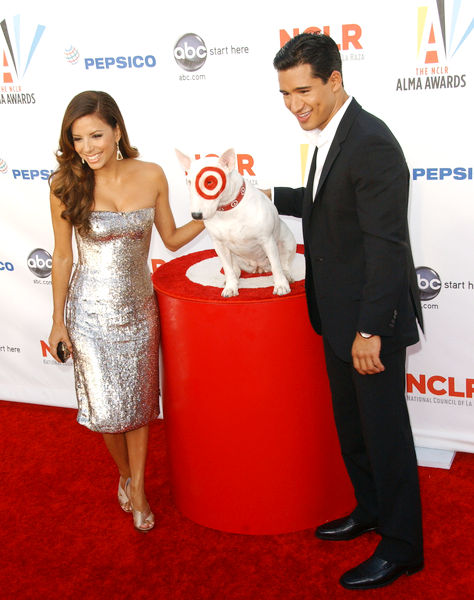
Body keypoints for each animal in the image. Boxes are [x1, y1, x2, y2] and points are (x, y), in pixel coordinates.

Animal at [177, 148, 296, 298]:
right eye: (189, 181)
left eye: (210, 182)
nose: (196, 215)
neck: (228, 210)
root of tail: (258, 266)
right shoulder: (219, 245)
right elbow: (227, 268)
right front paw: (230, 287)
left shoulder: (267, 240)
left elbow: (276, 265)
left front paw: (281, 286)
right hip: (234, 256)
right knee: (234, 268)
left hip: (287, 242)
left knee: (283, 263)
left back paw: (287, 275)